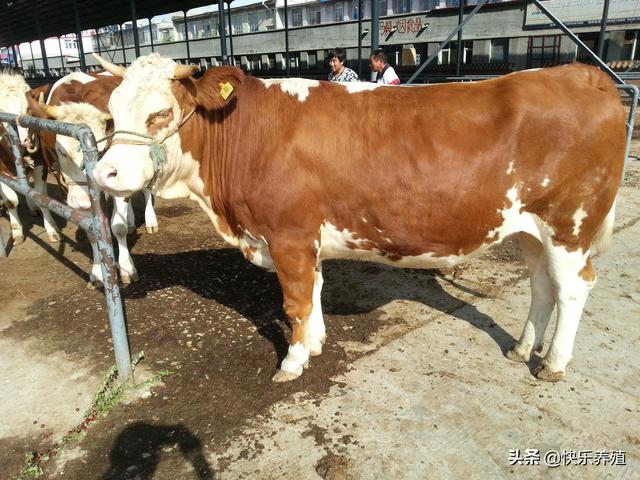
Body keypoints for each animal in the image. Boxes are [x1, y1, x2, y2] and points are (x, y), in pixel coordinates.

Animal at [92, 53, 628, 382]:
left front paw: (293, 361)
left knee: (574, 288)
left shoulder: (287, 235)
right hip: (532, 230)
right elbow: (315, 291)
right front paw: (316, 343)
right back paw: (522, 347)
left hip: (569, 226)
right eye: (113, 112)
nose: (104, 171)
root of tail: (580, 73)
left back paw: (553, 363)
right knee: (541, 285)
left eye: (160, 113)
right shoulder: (305, 238)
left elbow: (295, 303)